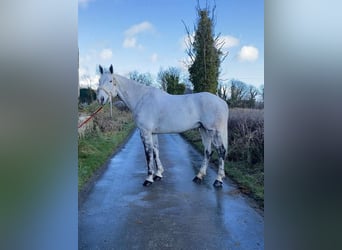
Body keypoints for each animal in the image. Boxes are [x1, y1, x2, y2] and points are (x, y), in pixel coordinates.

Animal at [96, 64, 230, 188]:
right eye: (99, 81)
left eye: (110, 81)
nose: (100, 99)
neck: (141, 98)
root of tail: (222, 102)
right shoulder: (153, 133)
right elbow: (156, 151)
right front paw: (158, 174)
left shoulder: (145, 132)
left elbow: (148, 153)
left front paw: (149, 179)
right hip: (204, 130)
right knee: (208, 152)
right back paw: (199, 176)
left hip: (214, 131)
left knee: (221, 151)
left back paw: (218, 180)